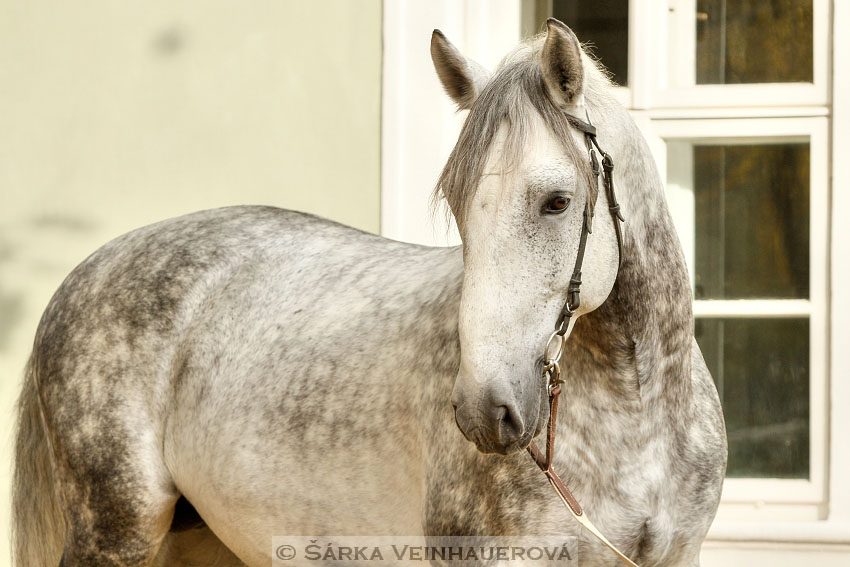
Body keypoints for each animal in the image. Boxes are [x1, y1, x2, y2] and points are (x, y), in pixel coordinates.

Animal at [13, 20, 724, 567]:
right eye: (458, 205)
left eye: (556, 201)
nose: (483, 411)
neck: (639, 412)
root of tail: (87, 271)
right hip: (117, 532)